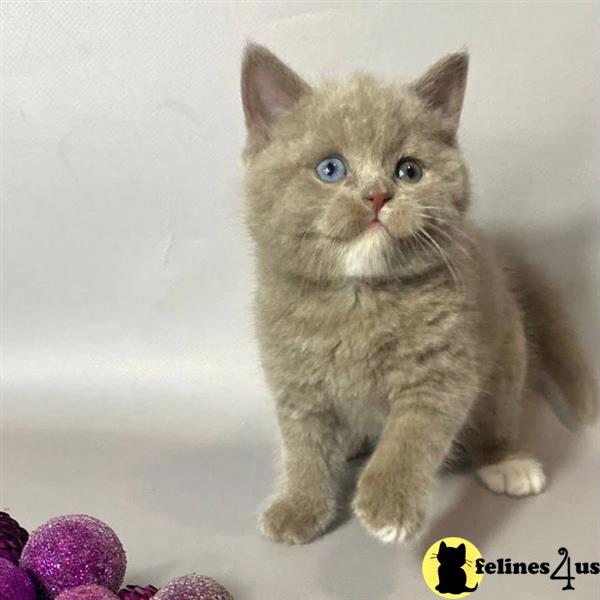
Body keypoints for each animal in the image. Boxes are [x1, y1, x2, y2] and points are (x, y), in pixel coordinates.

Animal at [240, 43, 597, 544]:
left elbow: (412, 436)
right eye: (331, 169)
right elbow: (304, 445)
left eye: (409, 170)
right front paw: (300, 507)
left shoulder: (444, 369)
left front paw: (387, 506)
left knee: (496, 417)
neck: (358, 297)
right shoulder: (295, 376)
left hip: (508, 358)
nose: (376, 195)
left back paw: (505, 462)